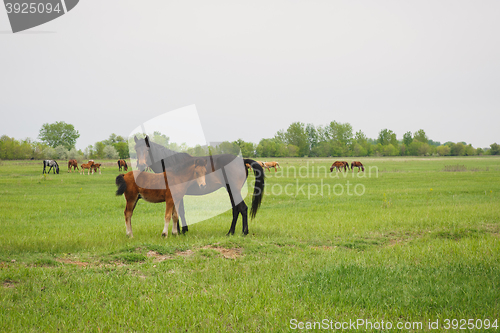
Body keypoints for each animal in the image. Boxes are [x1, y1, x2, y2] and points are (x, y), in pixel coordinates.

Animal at [133, 136, 266, 235]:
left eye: (147, 149)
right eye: (135, 149)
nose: (141, 165)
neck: (173, 164)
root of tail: (242, 161)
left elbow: (179, 211)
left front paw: (180, 231)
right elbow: (179, 211)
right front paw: (183, 230)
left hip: (234, 190)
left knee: (242, 208)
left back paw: (243, 232)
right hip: (231, 191)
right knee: (236, 209)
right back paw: (231, 232)